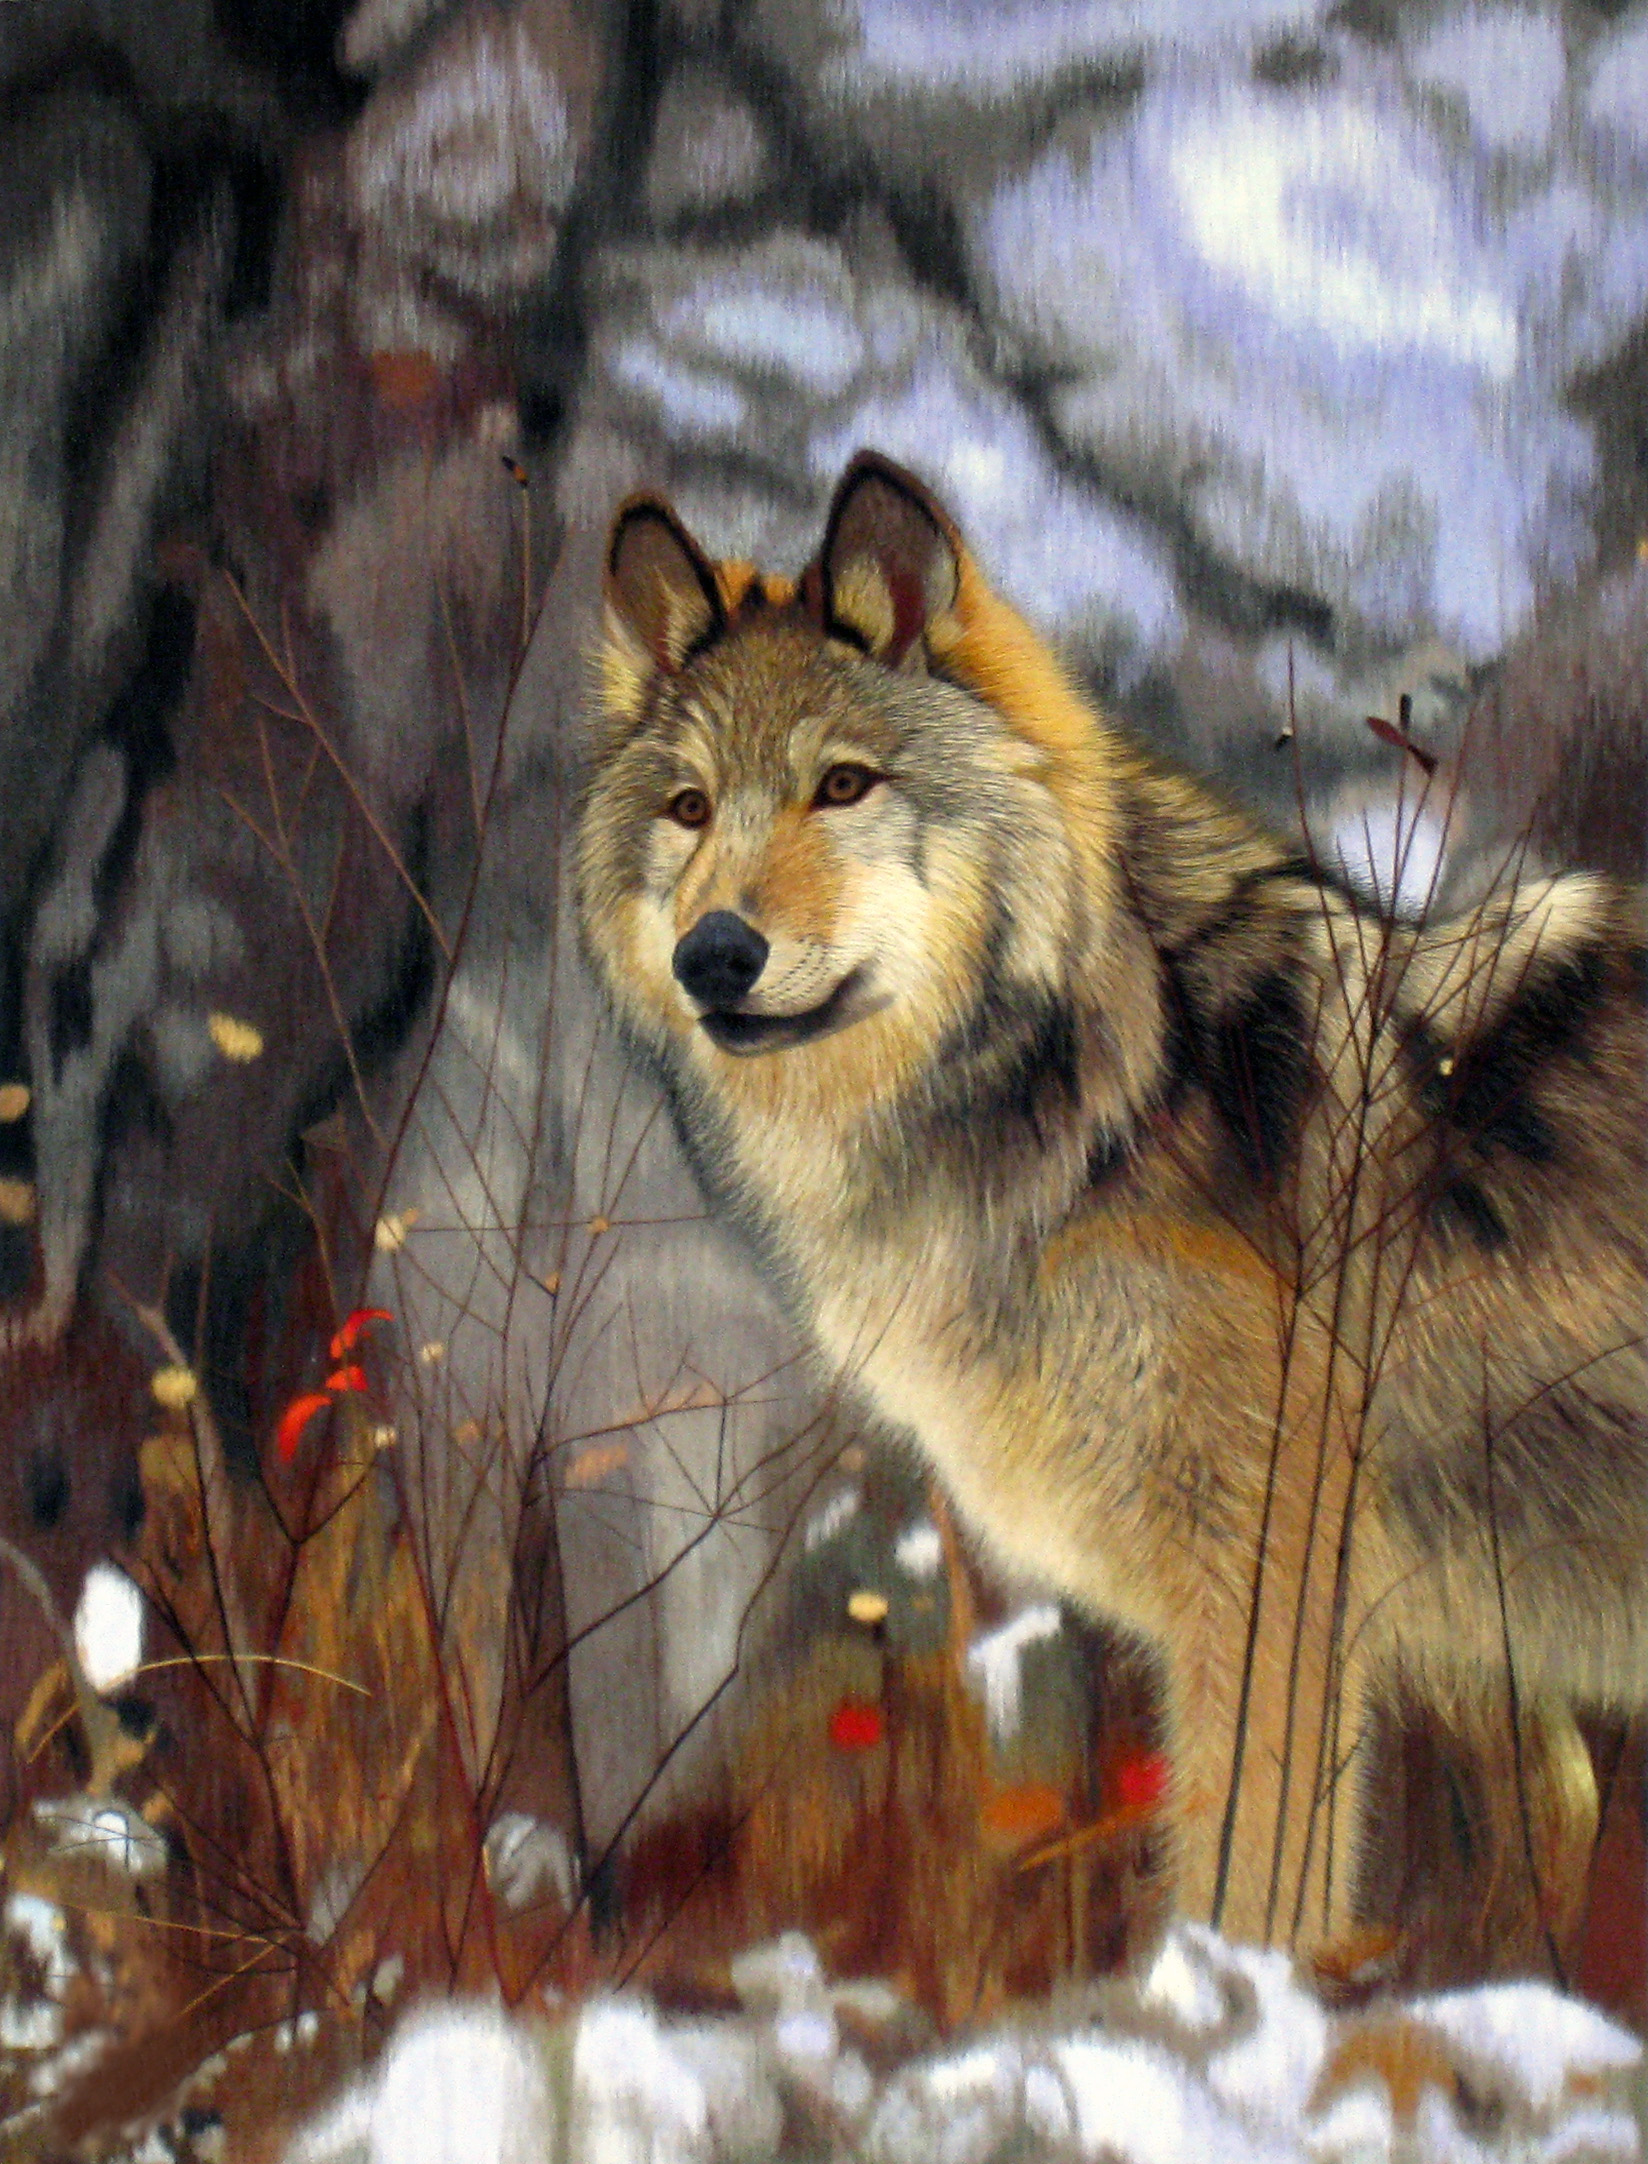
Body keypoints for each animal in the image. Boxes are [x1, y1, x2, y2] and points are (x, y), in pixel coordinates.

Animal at [575, 450, 1647, 1953]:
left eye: (843, 785)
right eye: (687, 809)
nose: (714, 953)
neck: (1118, 1093)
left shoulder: (1275, 1602)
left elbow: (1247, 1901)